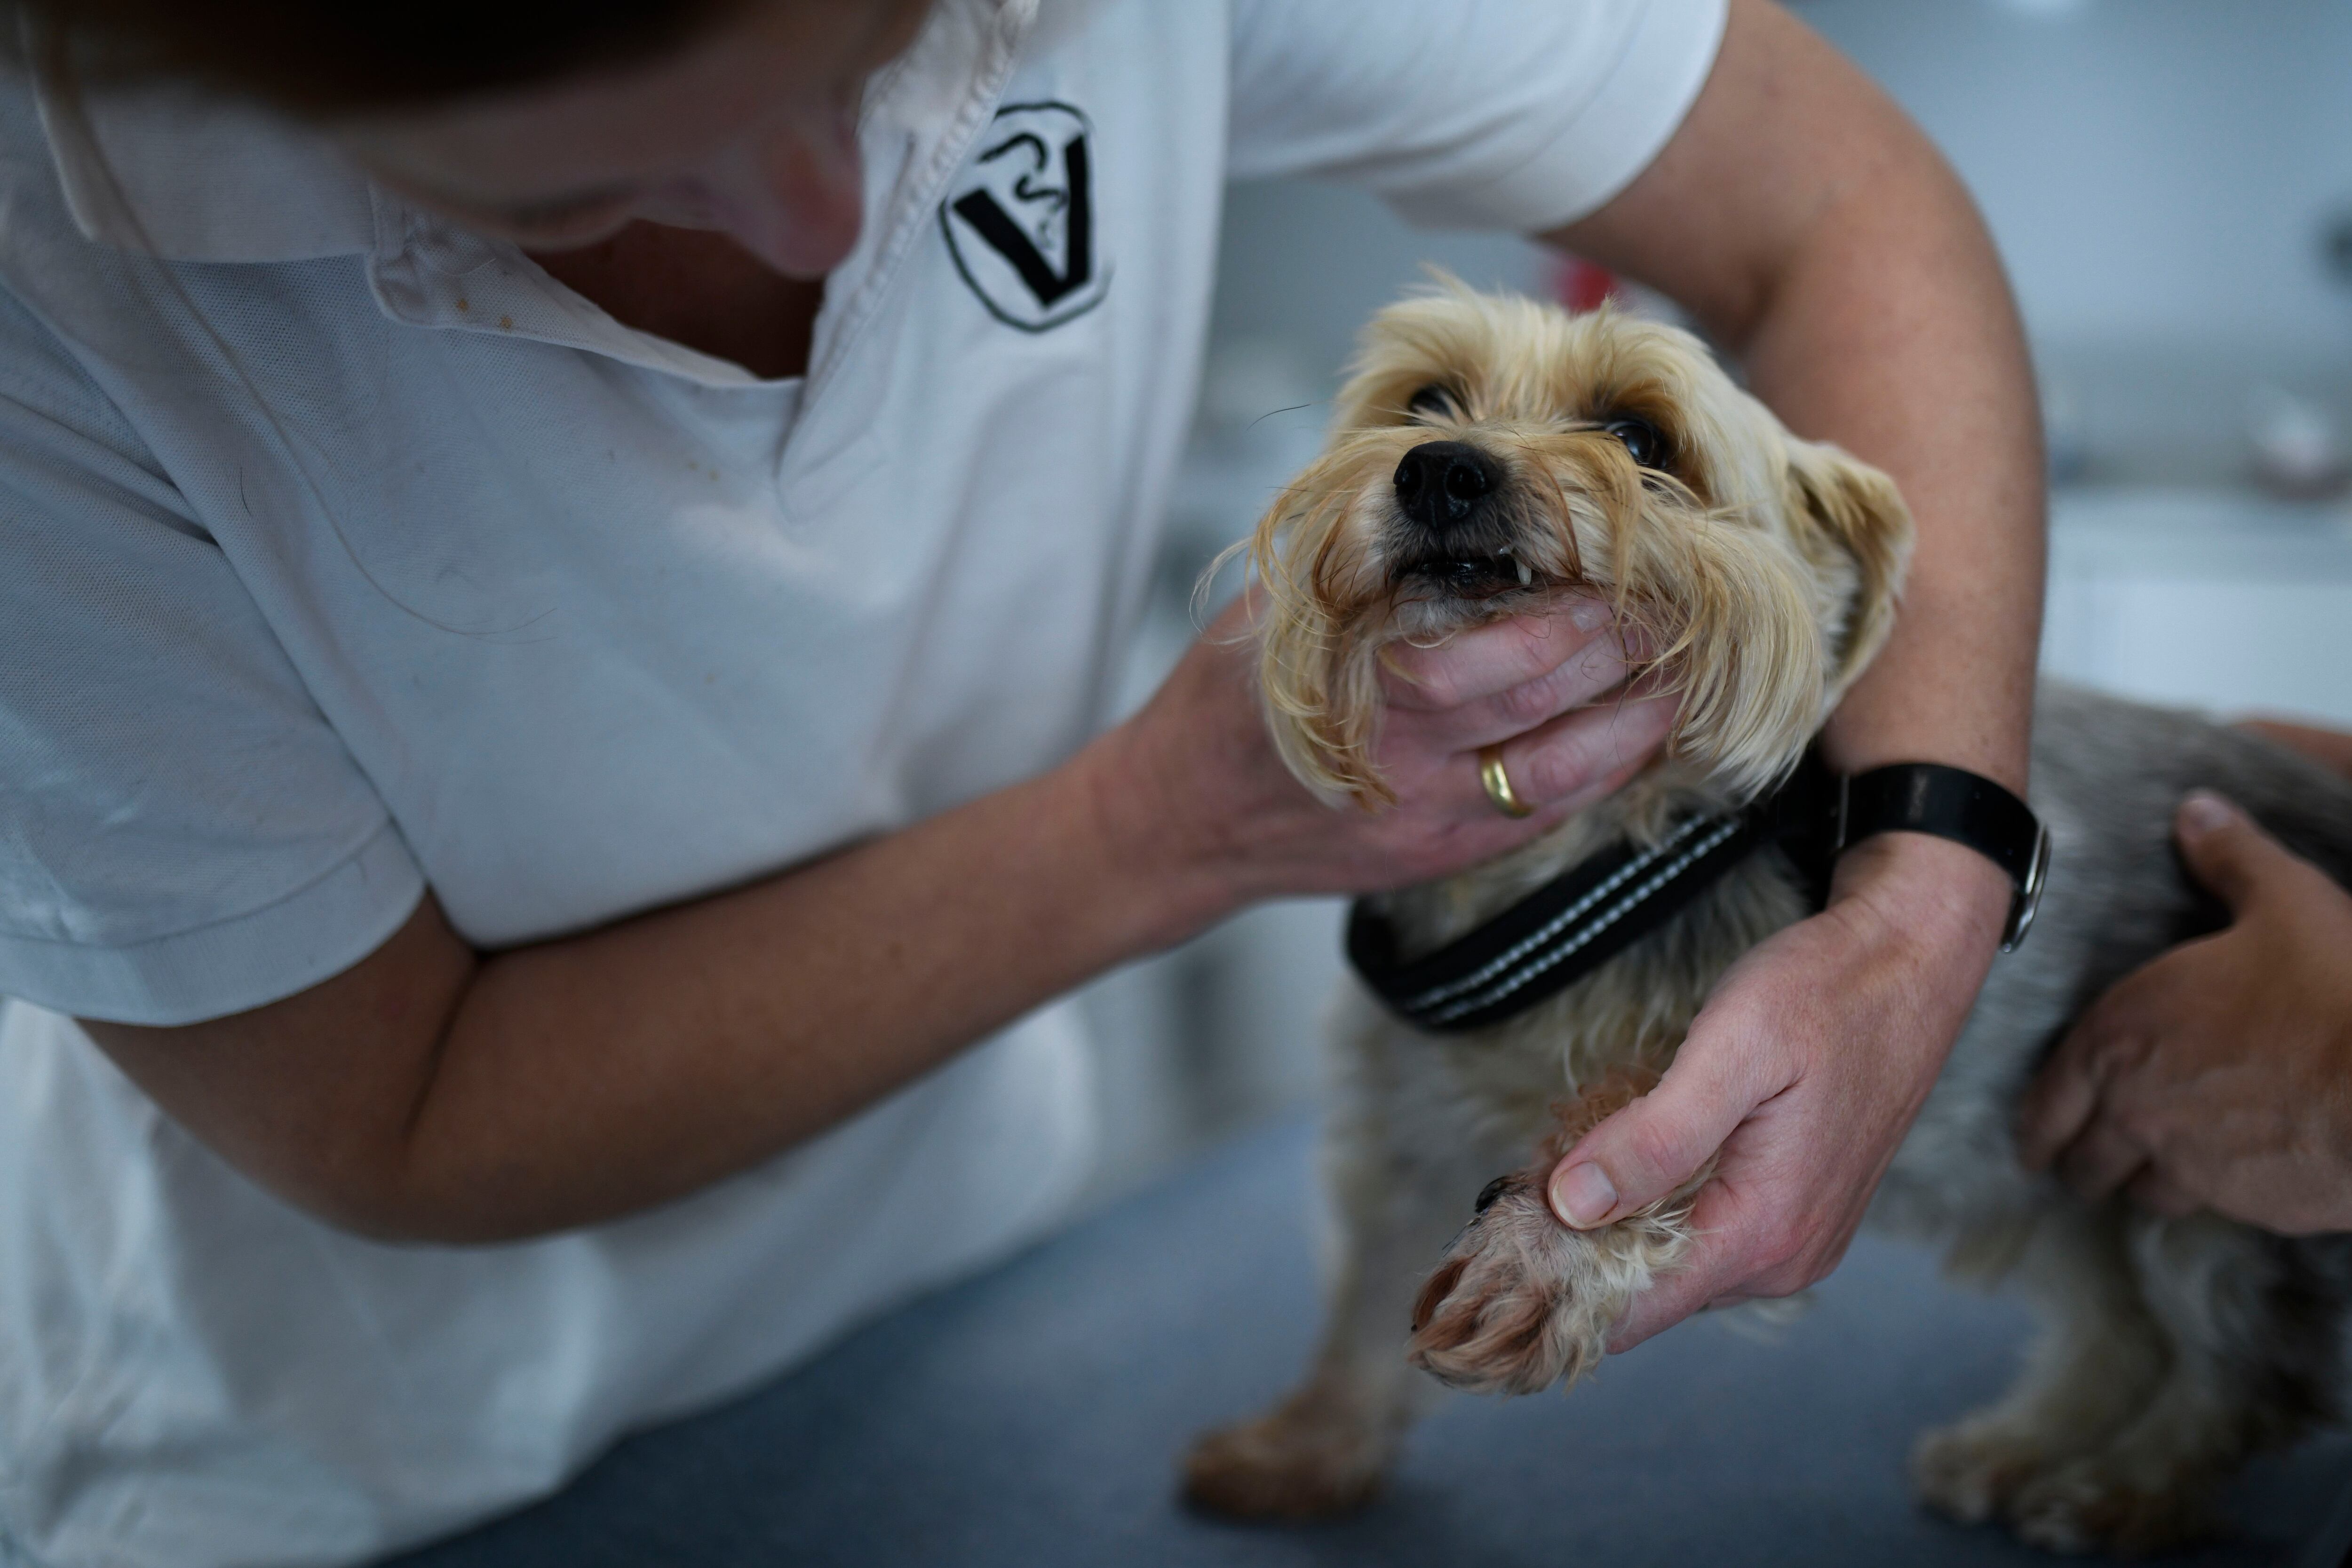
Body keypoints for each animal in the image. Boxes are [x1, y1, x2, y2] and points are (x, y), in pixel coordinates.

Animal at [1185, 285, 2352, 1561]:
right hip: (2062, 1173)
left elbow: (1628, 1117)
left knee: (2242, 1367)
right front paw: (1300, 1448)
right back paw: (2025, 1447)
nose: (1442, 469)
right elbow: (1361, 1297)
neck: (1556, 872)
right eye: (1425, 400)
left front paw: (1541, 1249)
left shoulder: (1716, 1024)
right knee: (2123, 1329)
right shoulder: (1402, 1113)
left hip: (2208, 1180)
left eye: (1639, 437)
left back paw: (2123, 1487)